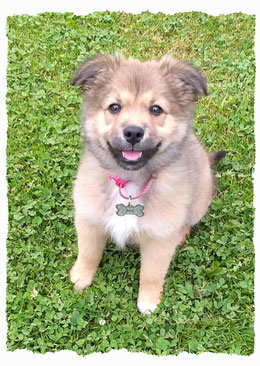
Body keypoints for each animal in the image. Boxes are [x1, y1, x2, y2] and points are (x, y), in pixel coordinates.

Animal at [69, 53, 225, 314]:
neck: (130, 182)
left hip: (200, 198)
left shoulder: (159, 238)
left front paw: (149, 301)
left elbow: (151, 274)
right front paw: (81, 277)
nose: (133, 132)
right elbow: (88, 253)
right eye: (114, 107)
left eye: (156, 109)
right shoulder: (89, 218)